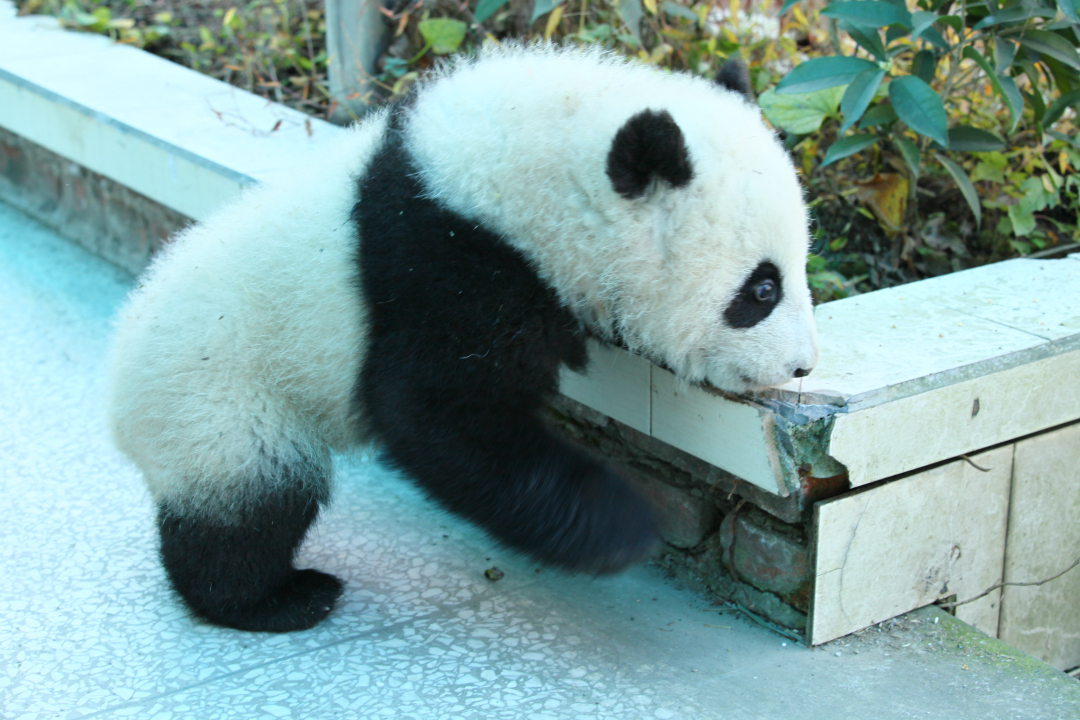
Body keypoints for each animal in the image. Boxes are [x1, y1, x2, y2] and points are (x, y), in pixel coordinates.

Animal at [107, 45, 816, 634]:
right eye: (761, 290)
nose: (803, 366)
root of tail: (119, 400)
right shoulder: (445, 262)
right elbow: (435, 416)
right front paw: (621, 527)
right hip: (220, 398)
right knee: (250, 505)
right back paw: (276, 599)